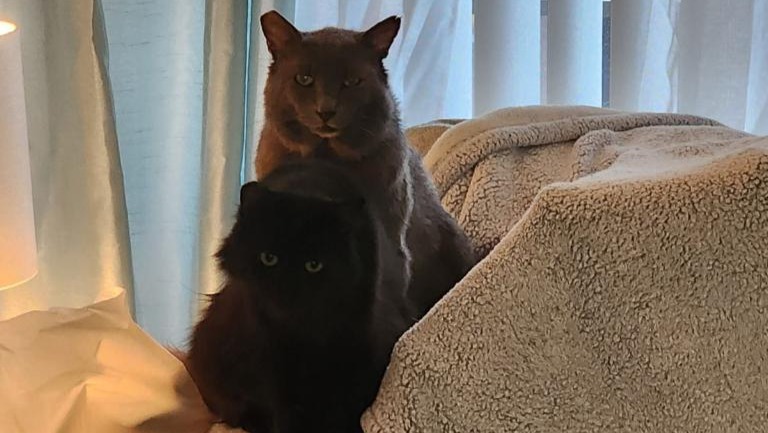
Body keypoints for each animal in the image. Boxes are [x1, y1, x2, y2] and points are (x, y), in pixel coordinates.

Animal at [187, 160, 415, 433]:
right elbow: (286, 410)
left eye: (314, 265)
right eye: (268, 258)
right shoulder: (273, 361)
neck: (305, 333)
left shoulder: (355, 345)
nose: (285, 288)